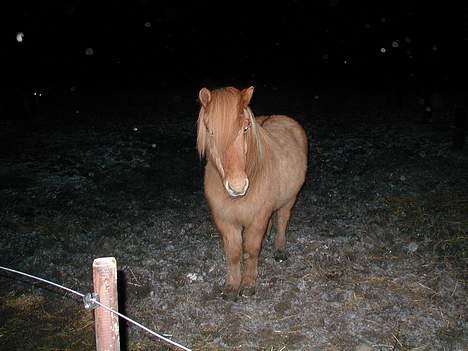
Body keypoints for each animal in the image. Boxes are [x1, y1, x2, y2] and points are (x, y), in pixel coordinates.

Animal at [197, 86, 308, 302]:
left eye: (245, 129)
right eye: (211, 131)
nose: (238, 186)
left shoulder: (257, 218)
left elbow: (251, 249)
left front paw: (248, 284)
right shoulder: (225, 220)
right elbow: (233, 253)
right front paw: (231, 287)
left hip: (289, 199)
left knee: (282, 220)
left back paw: (279, 250)